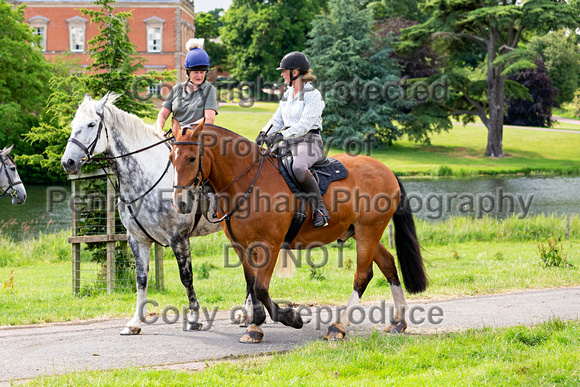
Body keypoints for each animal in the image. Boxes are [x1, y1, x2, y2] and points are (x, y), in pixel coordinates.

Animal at [60, 92, 221, 334]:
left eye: (91, 124)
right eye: (73, 125)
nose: (67, 162)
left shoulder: (179, 238)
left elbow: (187, 278)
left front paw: (194, 318)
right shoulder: (138, 239)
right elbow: (141, 278)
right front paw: (135, 321)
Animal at [170, 123, 428, 344]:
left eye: (192, 158)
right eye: (172, 158)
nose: (180, 203)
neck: (247, 182)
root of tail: (386, 170)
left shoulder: (270, 245)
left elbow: (260, 288)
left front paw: (288, 318)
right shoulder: (241, 246)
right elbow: (251, 284)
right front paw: (255, 326)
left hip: (368, 231)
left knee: (363, 275)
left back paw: (338, 326)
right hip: (361, 232)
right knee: (388, 264)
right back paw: (398, 321)